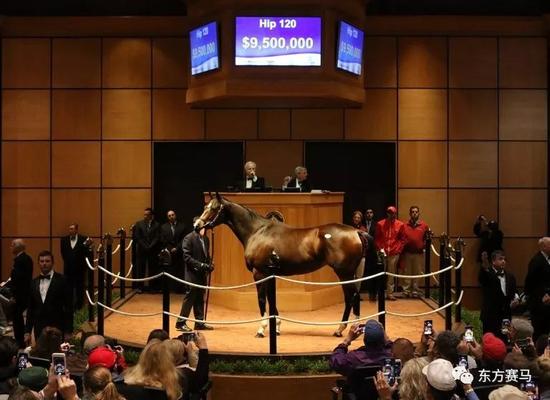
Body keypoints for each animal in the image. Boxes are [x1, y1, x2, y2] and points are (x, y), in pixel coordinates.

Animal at [196, 192, 368, 336]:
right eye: (205, 207)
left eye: (214, 208)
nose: (197, 225)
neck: (257, 232)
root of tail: (355, 231)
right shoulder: (270, 274)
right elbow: (271, 300)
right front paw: (277, 327)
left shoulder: (259, 273)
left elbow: (262, 300)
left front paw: (261, 329)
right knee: (353, 296)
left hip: (344, 273)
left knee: (351, 296)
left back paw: (343, 329)